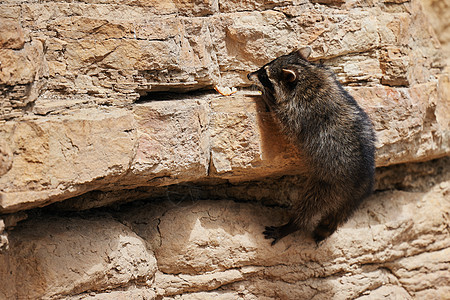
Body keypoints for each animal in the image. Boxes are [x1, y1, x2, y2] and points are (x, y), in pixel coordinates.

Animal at [248, 46, 374, 244]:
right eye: (263, 67)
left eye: (264, 76)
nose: (248, 75)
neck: (307, 74)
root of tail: (362, 183)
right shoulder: (327, 74)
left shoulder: (301, 111)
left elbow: (286, 122)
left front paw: (269, 99)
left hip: (329, 185)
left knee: (310, 206)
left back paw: (293, 225)